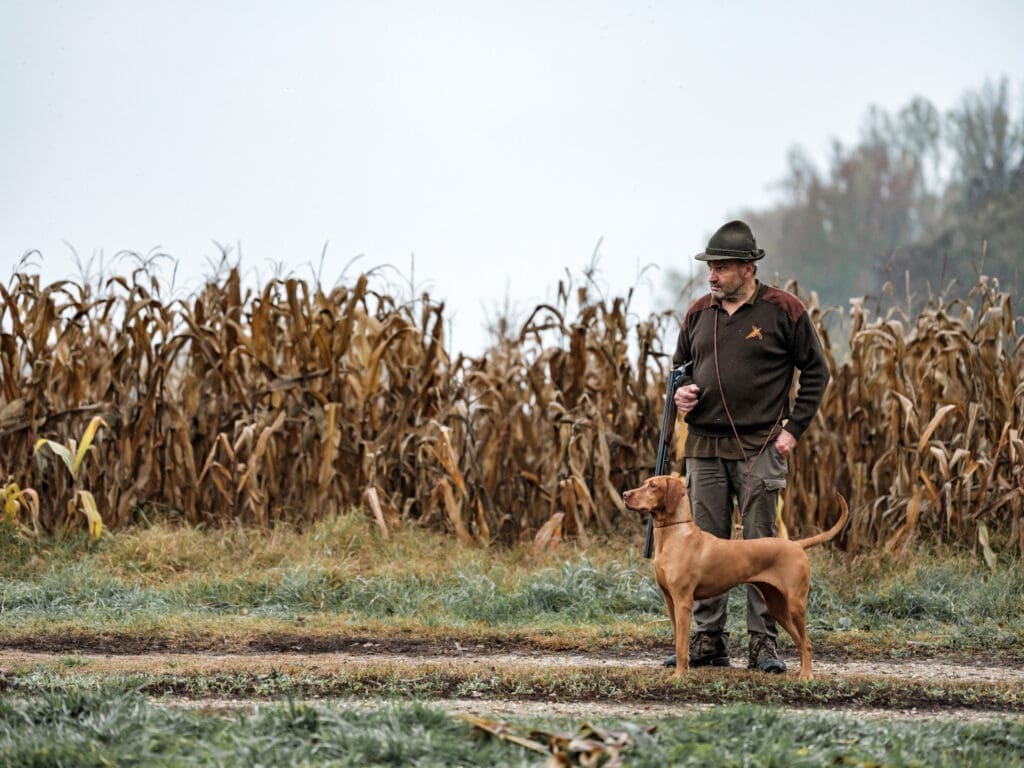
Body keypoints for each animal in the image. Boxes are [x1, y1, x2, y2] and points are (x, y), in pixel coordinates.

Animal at [622, 479, 847, 684]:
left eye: (653, 486)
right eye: (645, 483)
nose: (624, 494)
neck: (674, 535)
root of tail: (797, 545)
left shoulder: (683, 601)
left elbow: (681, 645)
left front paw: (679, 676)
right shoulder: (671, 602)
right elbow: (679, 641)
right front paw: (682, 670)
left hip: (795, 605)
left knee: (807, 642)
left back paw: (807, 676)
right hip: (777, 607)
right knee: (800, 642)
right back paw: (801, 672)